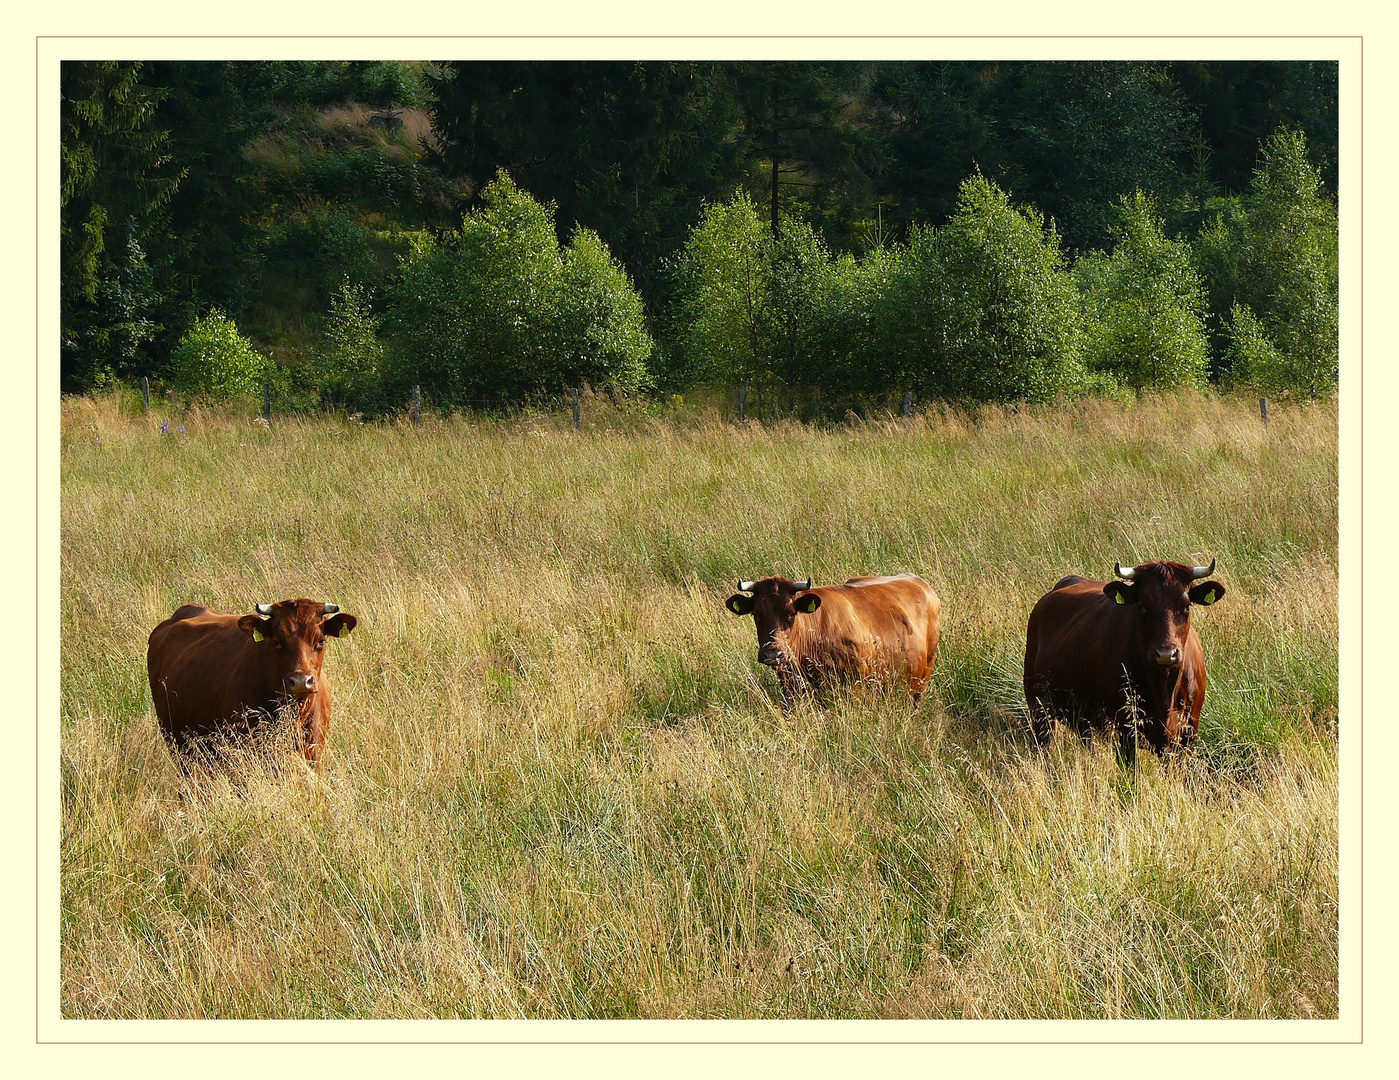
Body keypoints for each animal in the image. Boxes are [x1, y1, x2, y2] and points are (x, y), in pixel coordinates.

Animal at [1018, 556, 1225, 761]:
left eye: (1187, 605)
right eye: (1142, 605)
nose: (1166, 653)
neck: (1164, 690)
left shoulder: (1188, 732)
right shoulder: (1125, 730)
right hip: (1038, 706)